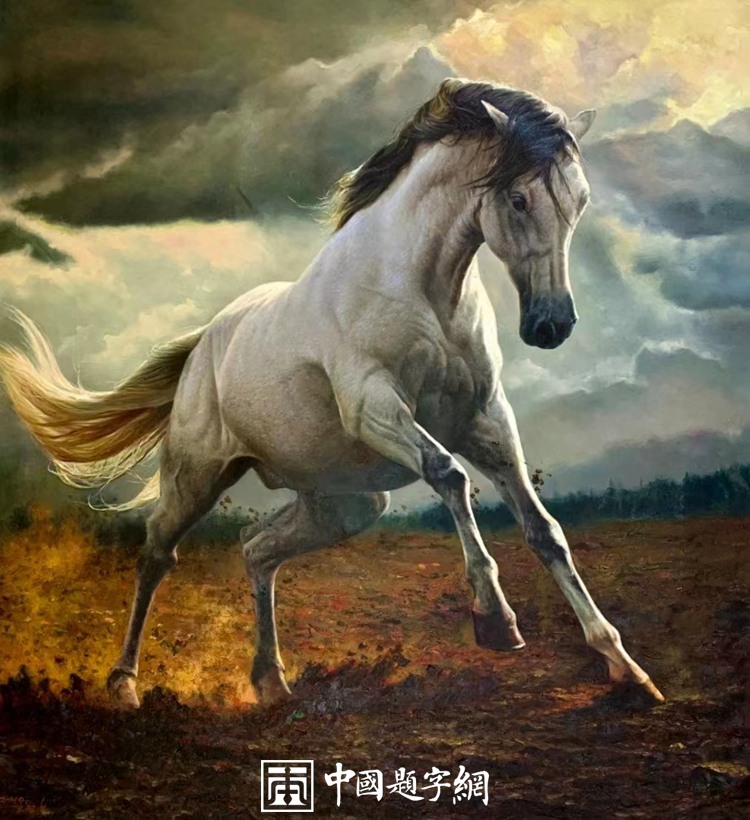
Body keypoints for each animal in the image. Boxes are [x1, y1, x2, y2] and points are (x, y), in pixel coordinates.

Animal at [0, 79, 664, 709]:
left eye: (579, 201)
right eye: (520, 198)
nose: (553, 326)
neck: (422, 290)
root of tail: (205, 341)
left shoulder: (486, 422)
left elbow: (543, 530)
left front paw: (626, 669)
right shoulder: (375, 407)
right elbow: (450, 476)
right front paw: (496, 620)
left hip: (344, 503)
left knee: (257, 548)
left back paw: (271, 681)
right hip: (196, 476)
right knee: (157, 556)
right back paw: (125, 685)